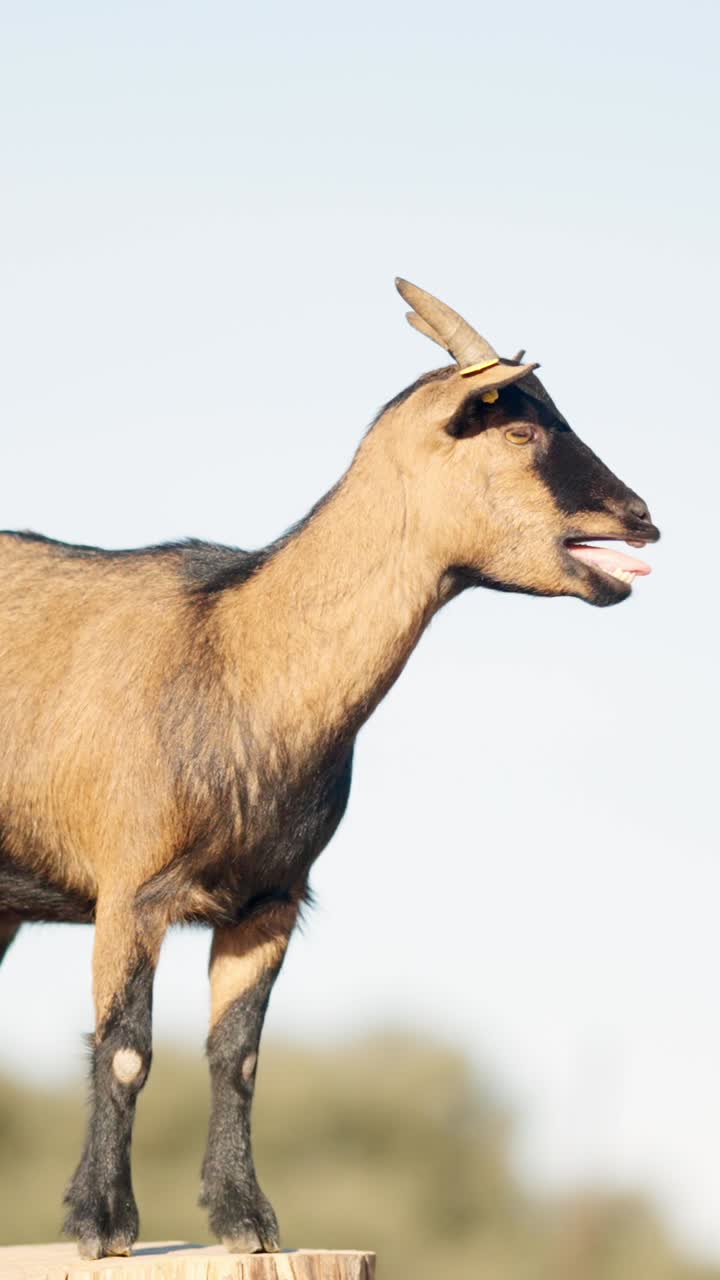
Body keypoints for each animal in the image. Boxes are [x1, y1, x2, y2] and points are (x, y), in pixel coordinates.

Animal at [0, 279, 659, 1258]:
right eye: (519, 429)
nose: (642, 519)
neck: (238, 653)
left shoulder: (269, 897)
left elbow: (237, 1057)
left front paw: (248, 1222)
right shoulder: (131, 887)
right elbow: (124, 1049)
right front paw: (103, 1224)